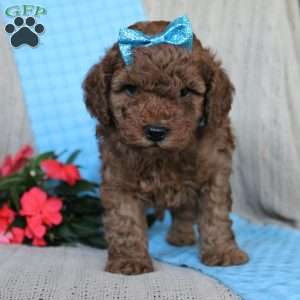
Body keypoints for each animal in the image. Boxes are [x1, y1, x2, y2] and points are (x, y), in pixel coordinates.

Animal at [82, 19, 248, 276]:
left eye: (185, 91)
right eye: (130, 89)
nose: (156, 131)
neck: (161, 156)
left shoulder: (214, 172)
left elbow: (216, 215)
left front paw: (223, 252)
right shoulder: (118, 179)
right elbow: (125, 220)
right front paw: (130, 259)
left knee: (185, 209)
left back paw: (181, 236)